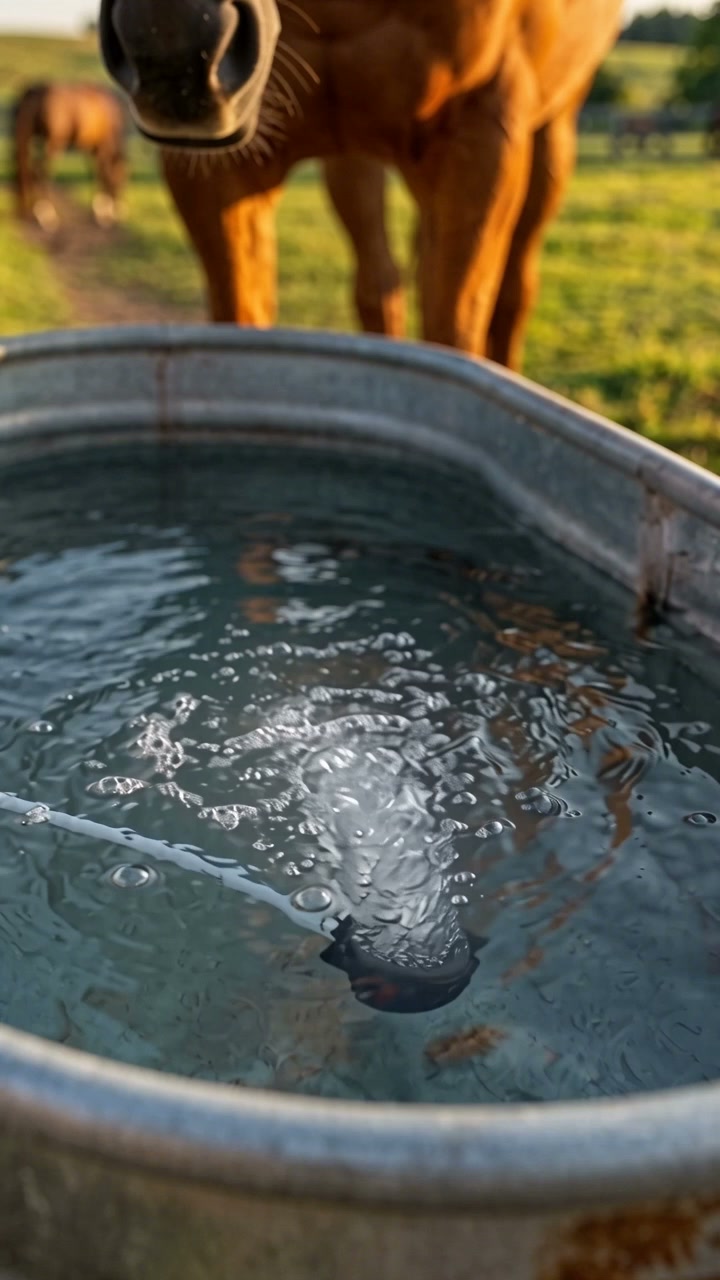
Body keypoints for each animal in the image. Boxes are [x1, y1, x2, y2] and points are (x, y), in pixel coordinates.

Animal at [11, 82, 129, 233]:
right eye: (122, 178)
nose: (120, 210)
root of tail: (35, 91)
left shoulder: (91, 148)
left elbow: (94, 173)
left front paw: (96, 210)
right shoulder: (104, 146)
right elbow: (104, 174)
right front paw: (104, 214)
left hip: (26, 137)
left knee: (26, 170)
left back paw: (28, 210)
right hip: (53, 142)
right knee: (41, 172)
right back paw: (47, 216)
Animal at [99, 0, 622, 370]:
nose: (172, 37)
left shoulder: (479, 136)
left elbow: (455, 332)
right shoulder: (219, 168)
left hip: (552, 130)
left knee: (513, 292)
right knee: (380, 281)